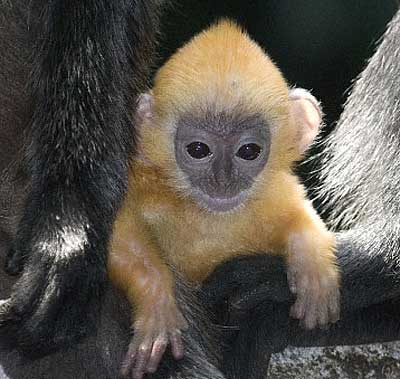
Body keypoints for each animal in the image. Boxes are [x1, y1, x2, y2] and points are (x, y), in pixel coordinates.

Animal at [109, 20, 340, 379]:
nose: (222, 180)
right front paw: (157, 302)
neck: (209, 218)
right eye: (198, 149)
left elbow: (299, 219)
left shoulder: (273, 195)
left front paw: (313, 267)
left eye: (248, 151)